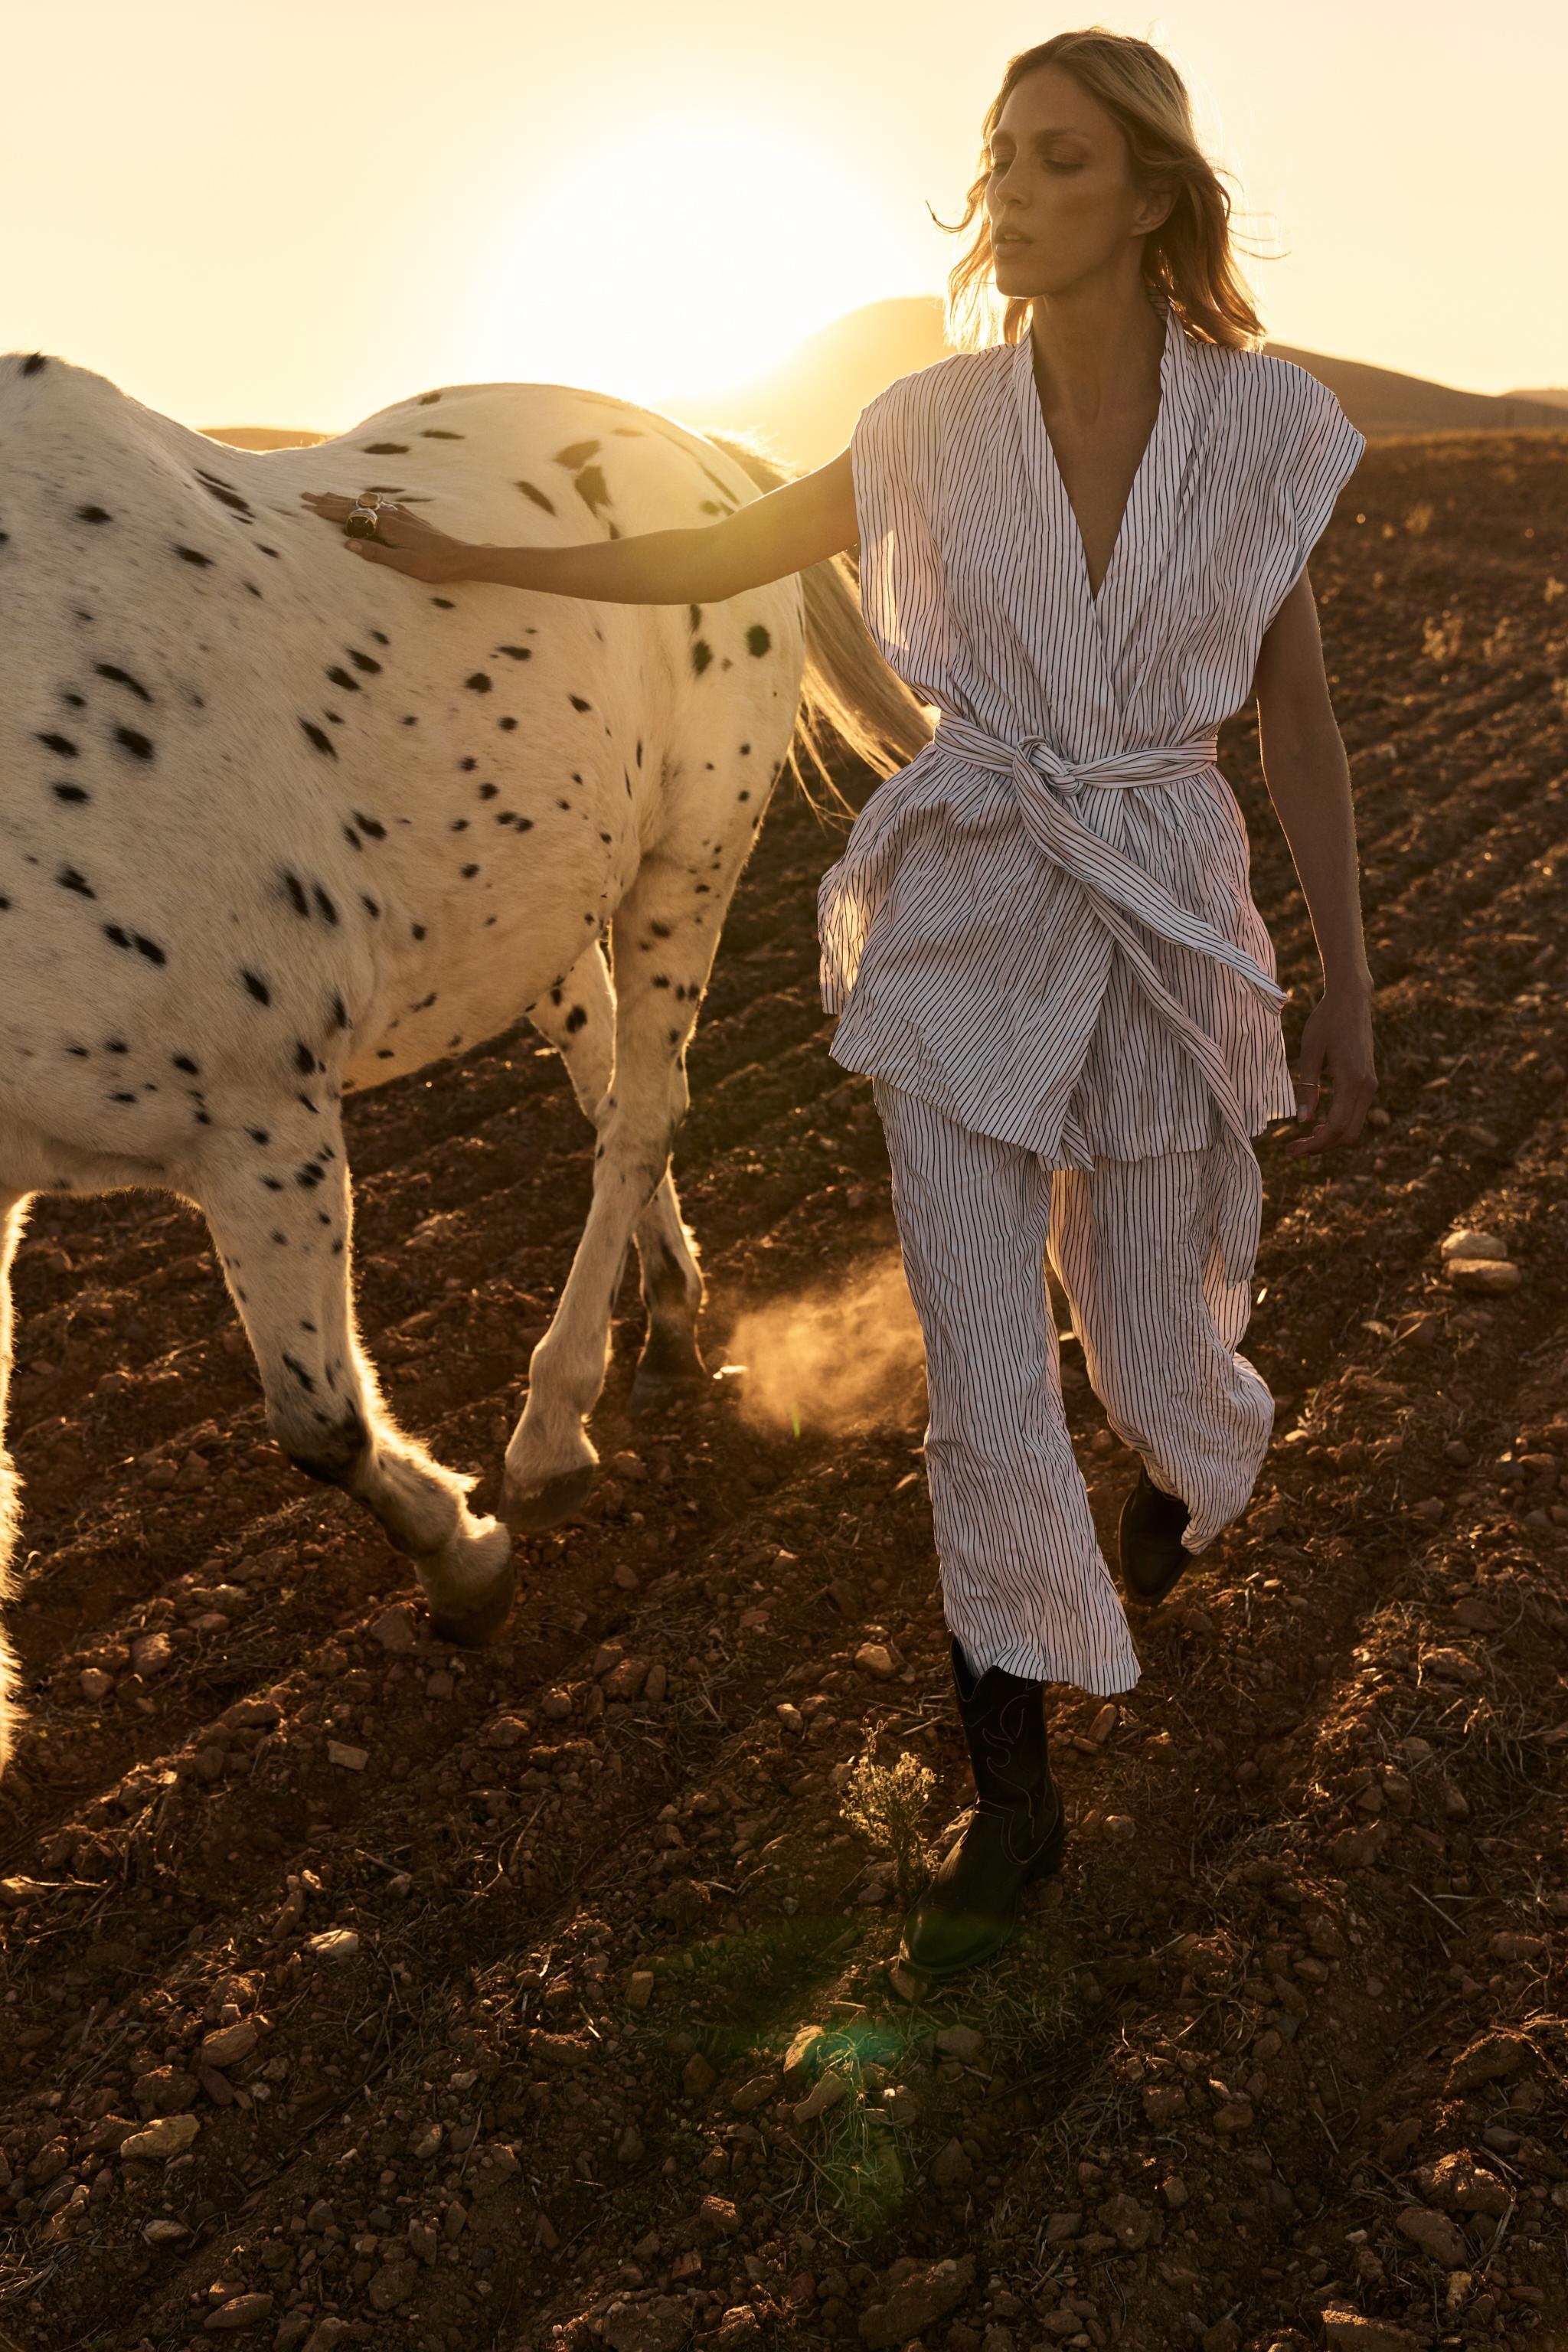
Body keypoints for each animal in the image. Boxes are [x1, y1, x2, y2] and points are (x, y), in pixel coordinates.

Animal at [0, 348, 930, 1769]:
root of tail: (703, 452)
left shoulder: (263, 1126)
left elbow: (320, 1425)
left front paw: (469, 1564)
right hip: (548, 913)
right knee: (611, 1092)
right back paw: (666, 1326)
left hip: (690, 858)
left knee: (642, 1114)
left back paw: (553, 1429)